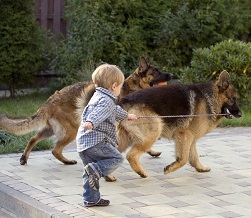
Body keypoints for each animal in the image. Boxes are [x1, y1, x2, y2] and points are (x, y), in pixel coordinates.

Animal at [0, 56, 173, 165]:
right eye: (157, 72)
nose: (171, 74)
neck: (132, 88)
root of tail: (49, 102)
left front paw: (151, 152)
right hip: (71, 131)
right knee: (55, 149)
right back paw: (67, 161)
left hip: (50, 130)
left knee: (32, 139)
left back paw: (24, 158)